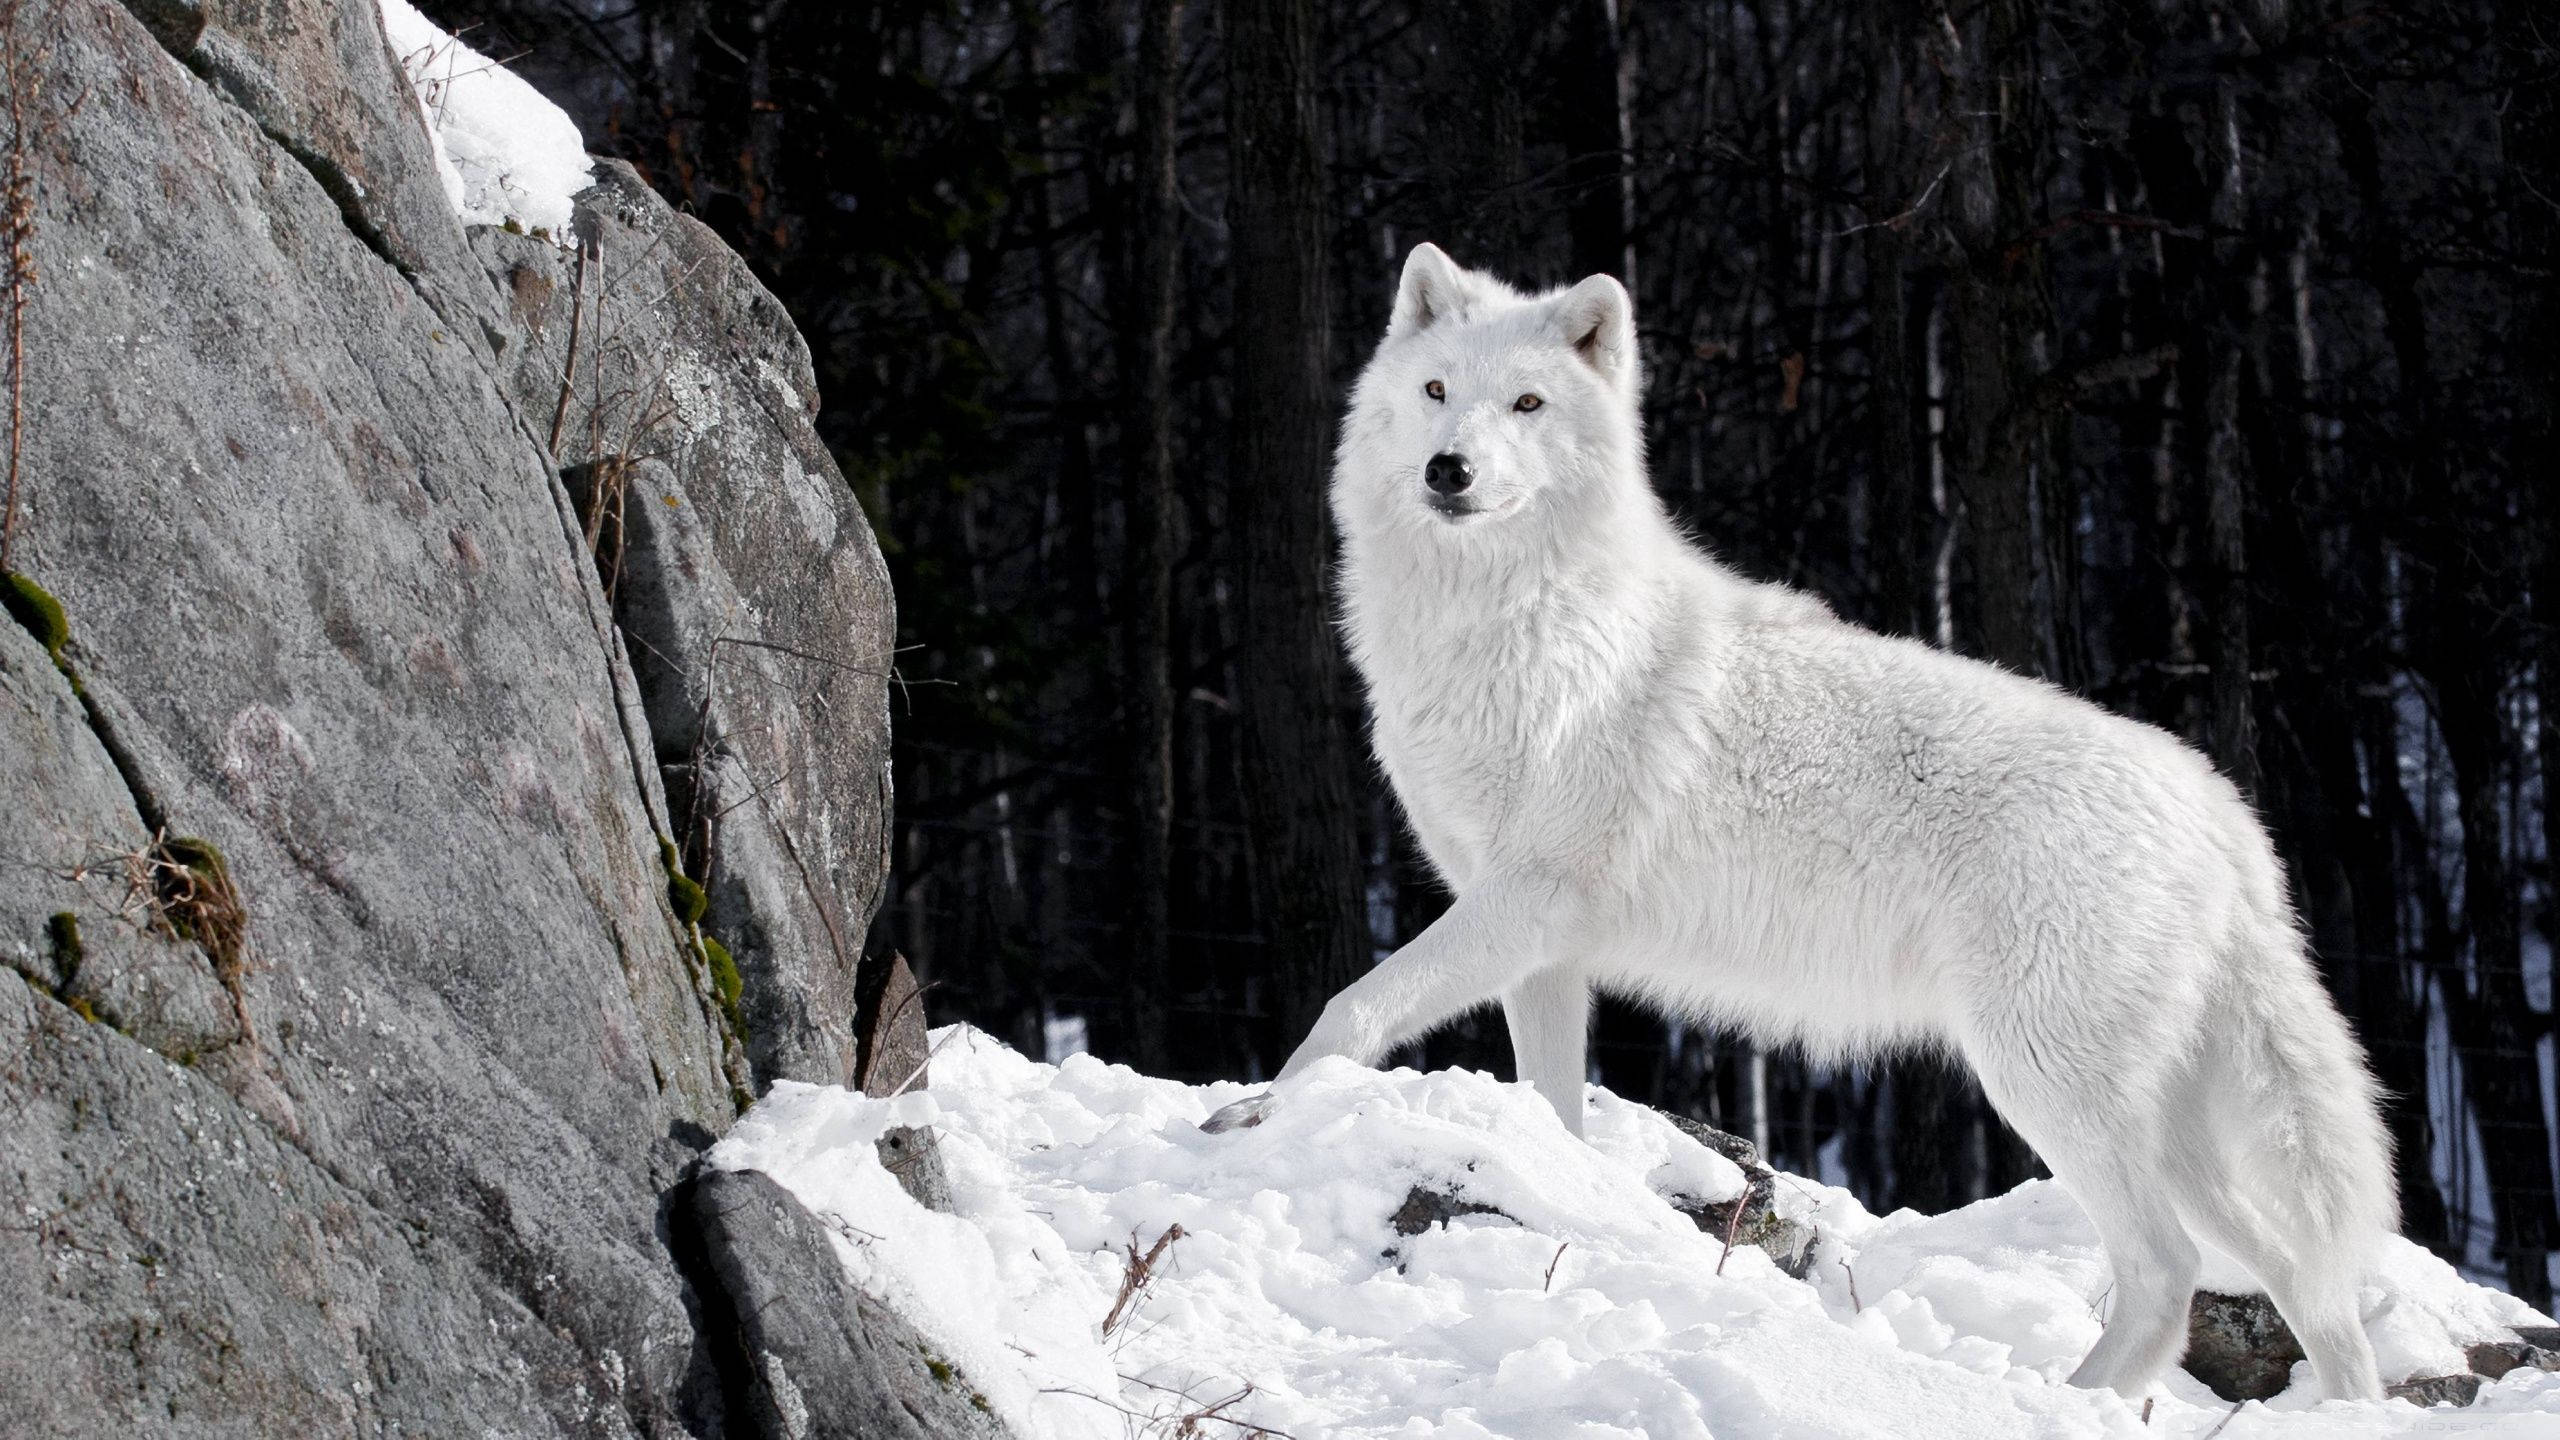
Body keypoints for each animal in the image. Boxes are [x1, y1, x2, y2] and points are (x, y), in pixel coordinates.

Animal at [1204, 242, 2396, 1402]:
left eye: (1528, 404)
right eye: (1438, 392)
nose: (1447, 470)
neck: (1511, 625)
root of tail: (2222, 811)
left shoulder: (1524, 900)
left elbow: (1350, 1008)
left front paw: (1253, 1117)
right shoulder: (1541, 947)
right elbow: (1551, 1107)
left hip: (2044, 1084)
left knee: (2168, 1272)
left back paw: (2066, 1401)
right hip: (2168, 1131)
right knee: (2302, 1279)